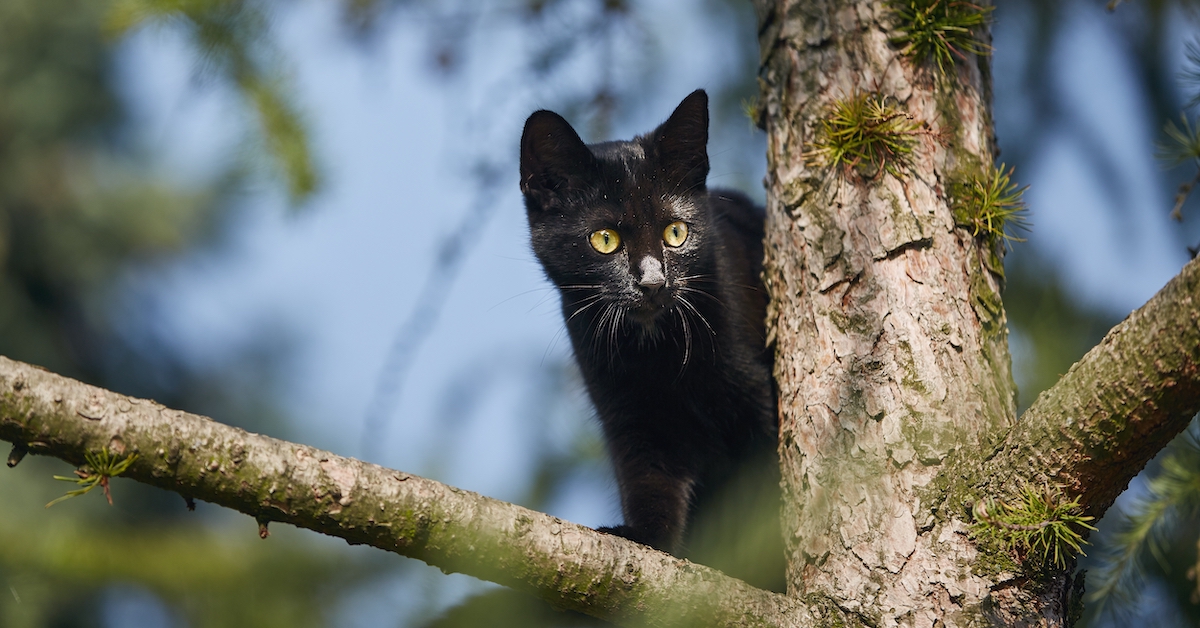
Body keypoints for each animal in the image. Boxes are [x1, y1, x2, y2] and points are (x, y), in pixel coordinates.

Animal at [520, 88, 782, 581]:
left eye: (675, 232)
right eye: (604, 239)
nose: (653, 281)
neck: (658, 354)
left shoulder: (759, 399)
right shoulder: (631, 415)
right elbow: (650, 482)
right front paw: (640, 539)